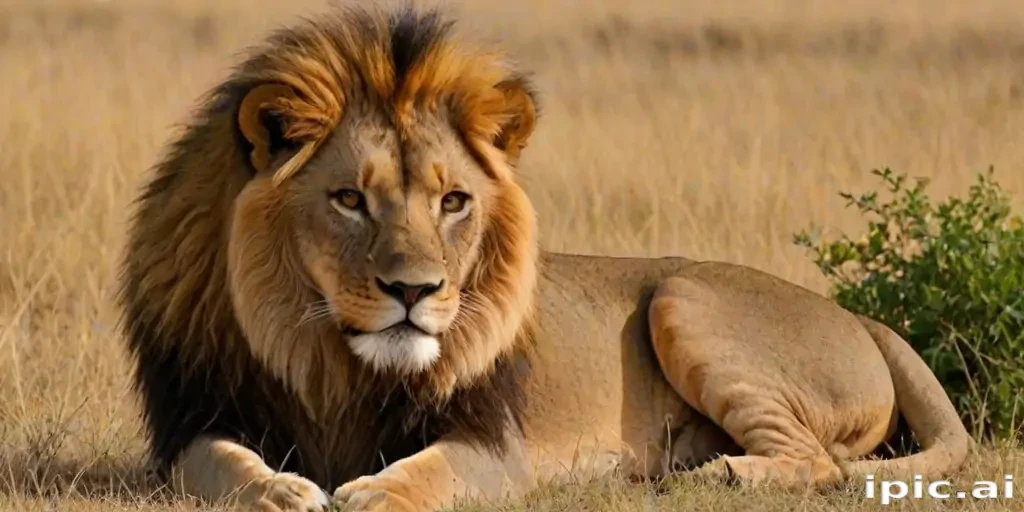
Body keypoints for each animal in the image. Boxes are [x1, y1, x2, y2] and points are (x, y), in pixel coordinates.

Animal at [117, 5, 971, 512]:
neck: (330, 356)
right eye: (349, 199)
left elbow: (427, 472)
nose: (413, 291)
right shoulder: (194, 422)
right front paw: (284, 492)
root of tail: (857, 315)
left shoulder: (494, 444)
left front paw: (369, 495)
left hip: (682, 299)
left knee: (819, 461)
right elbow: (224, 465)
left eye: (453, 201)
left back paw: (717, 476)